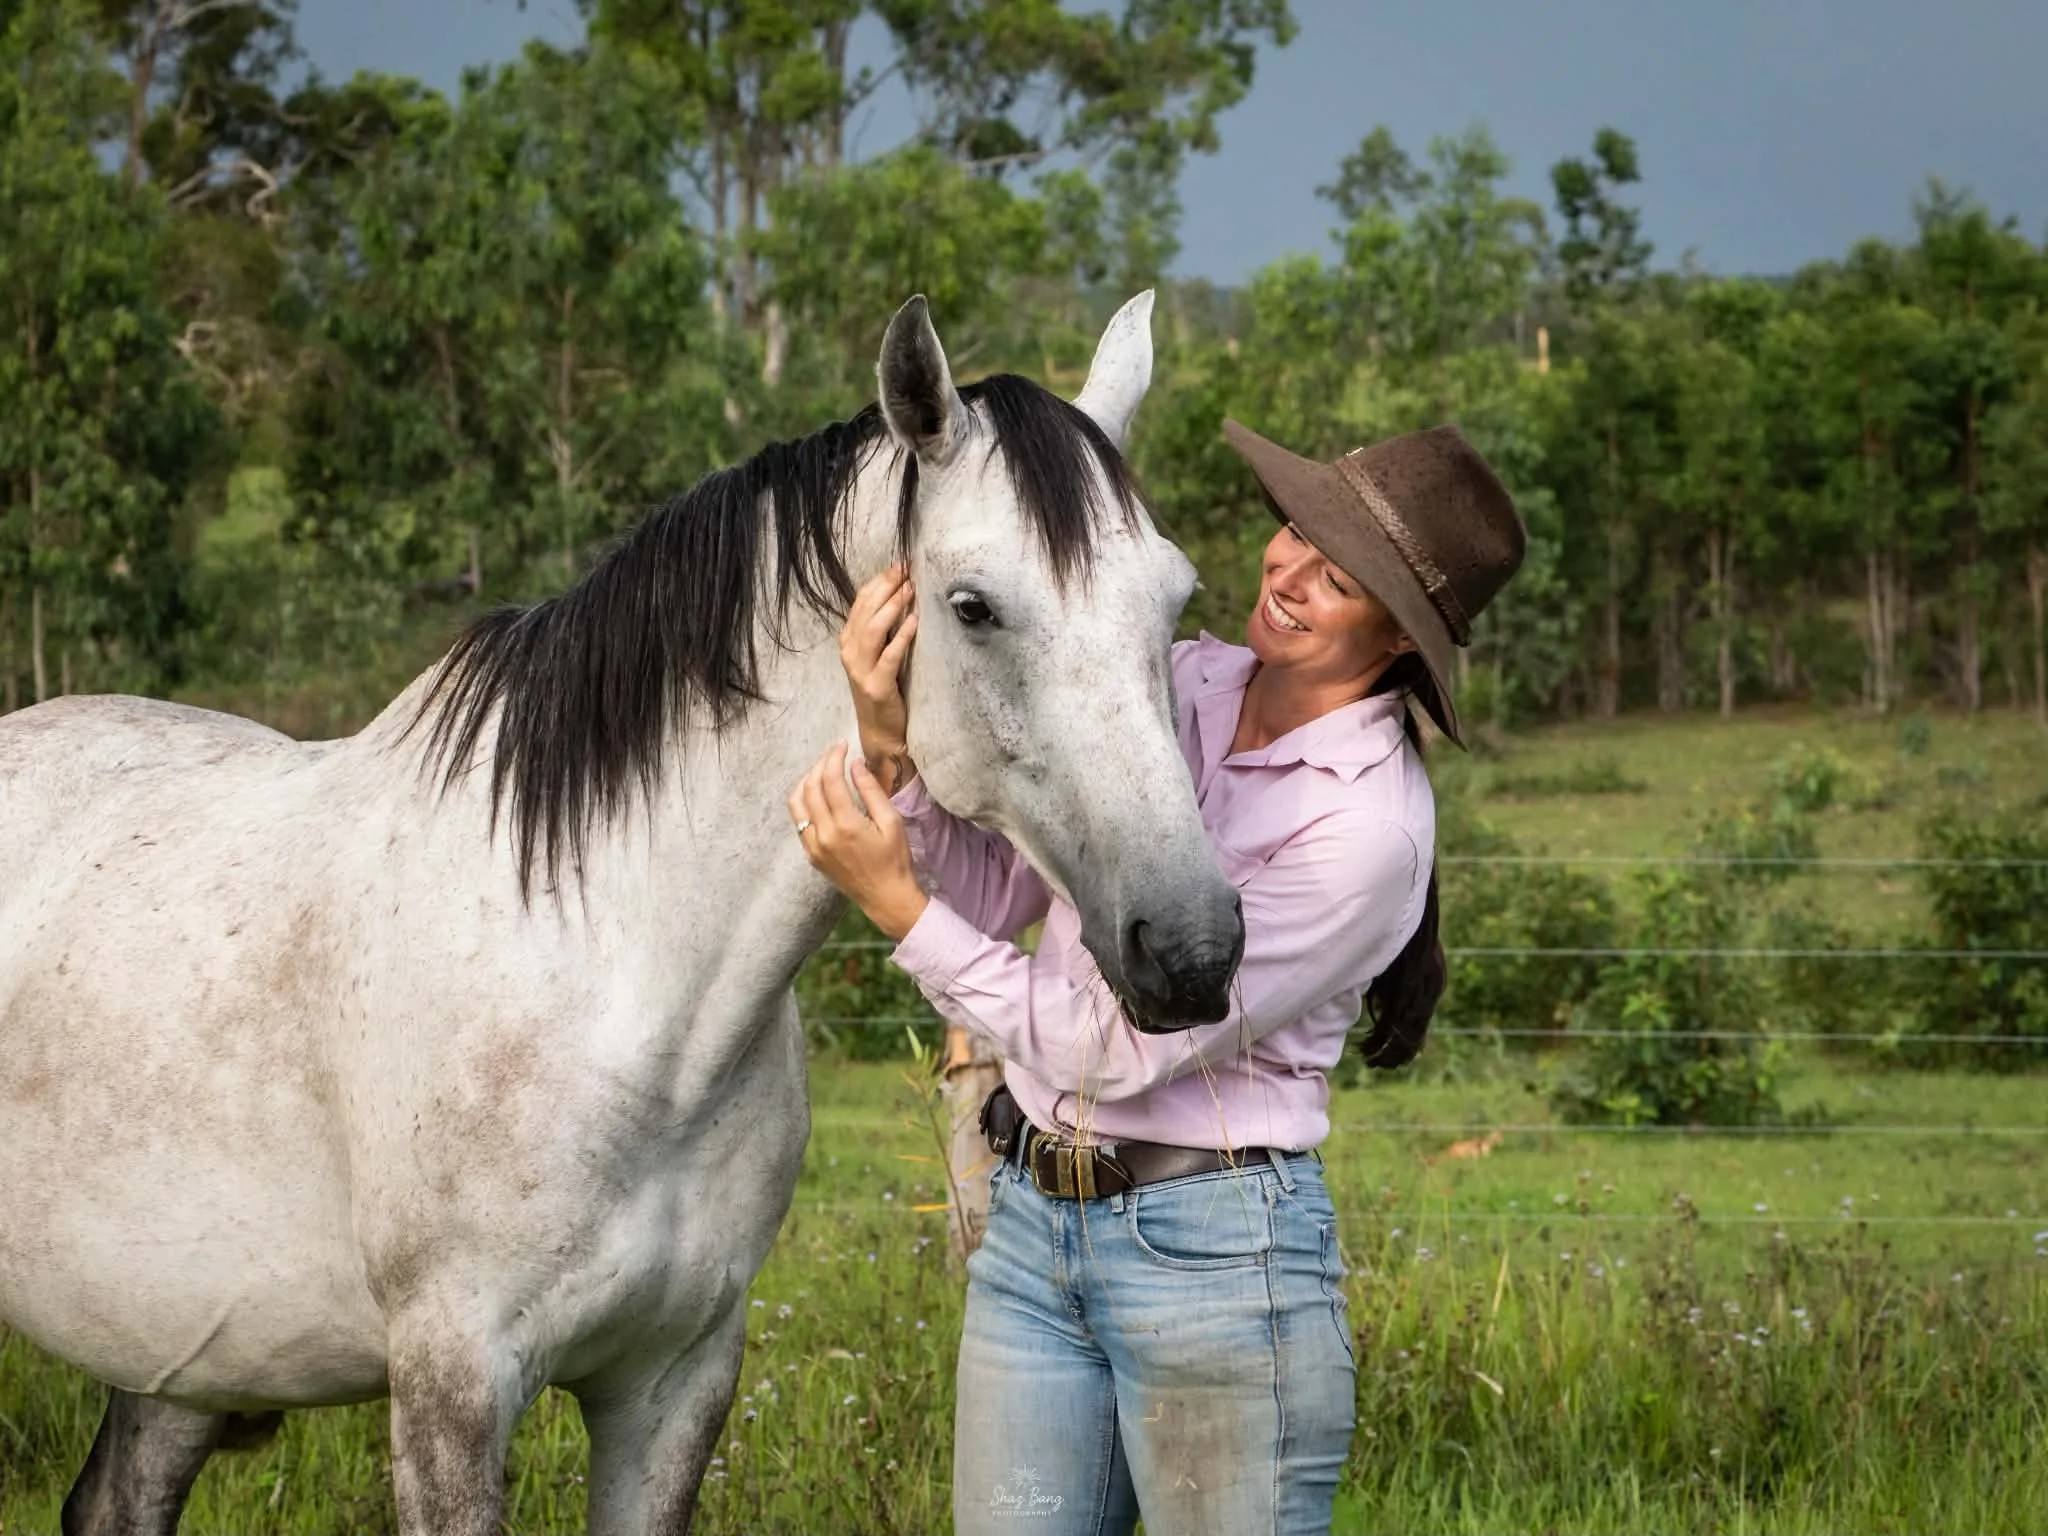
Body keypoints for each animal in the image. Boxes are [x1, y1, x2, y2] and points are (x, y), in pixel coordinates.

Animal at [0, 291, 1246, 1535]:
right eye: (973, 607)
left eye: (1171, 598)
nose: (1192, 947)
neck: (619, 981)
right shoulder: (451, 1386)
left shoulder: (674, 1380)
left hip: (176, 1358)